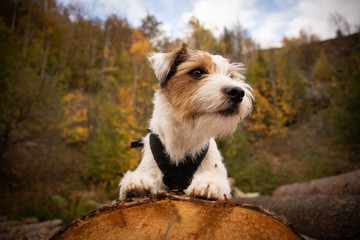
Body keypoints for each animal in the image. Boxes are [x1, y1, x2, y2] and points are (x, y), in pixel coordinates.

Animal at [119, 43, 253, 201]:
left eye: (231, 76)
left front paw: (210, 184)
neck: (185, 133)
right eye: (197, 72)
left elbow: (215, 178)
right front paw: (136, 181)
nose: (238, 92)